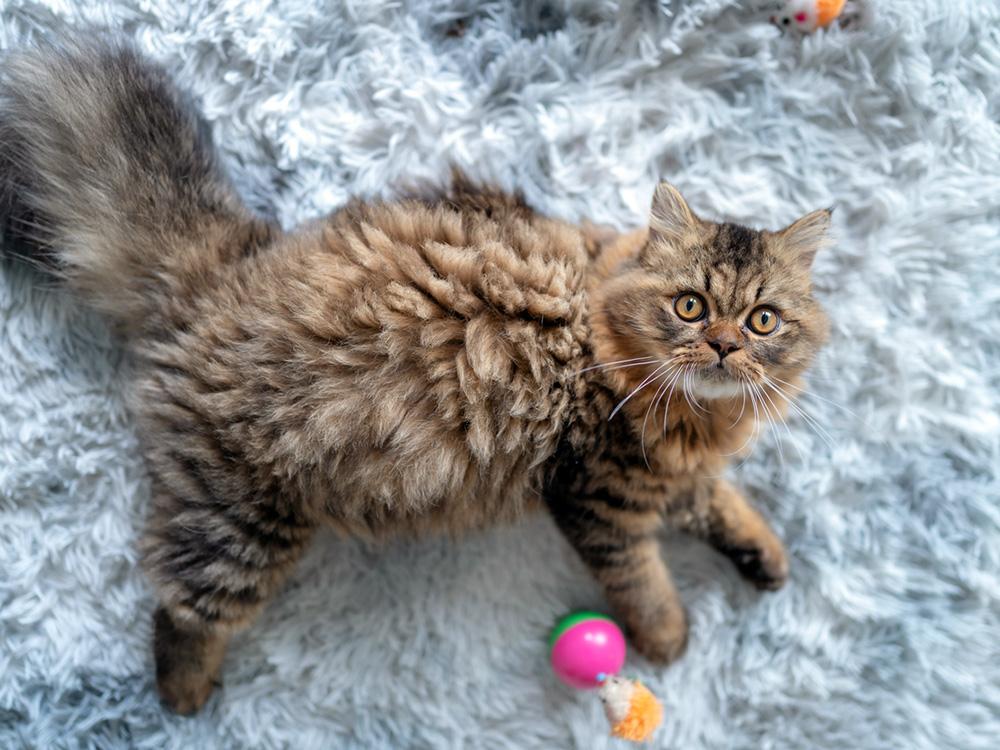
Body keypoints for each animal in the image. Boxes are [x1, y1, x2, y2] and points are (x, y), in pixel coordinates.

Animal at [0, 39, 828, 716]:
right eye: (690, 306)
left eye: (763, 320)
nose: (722, 346)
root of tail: (222, 269)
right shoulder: (600, 494)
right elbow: (641, 575)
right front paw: (668, 636)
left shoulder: (671, 476)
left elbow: (722, 505)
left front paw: (767, 556)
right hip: (235, 519)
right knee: (180, 611)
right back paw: (185, 696)